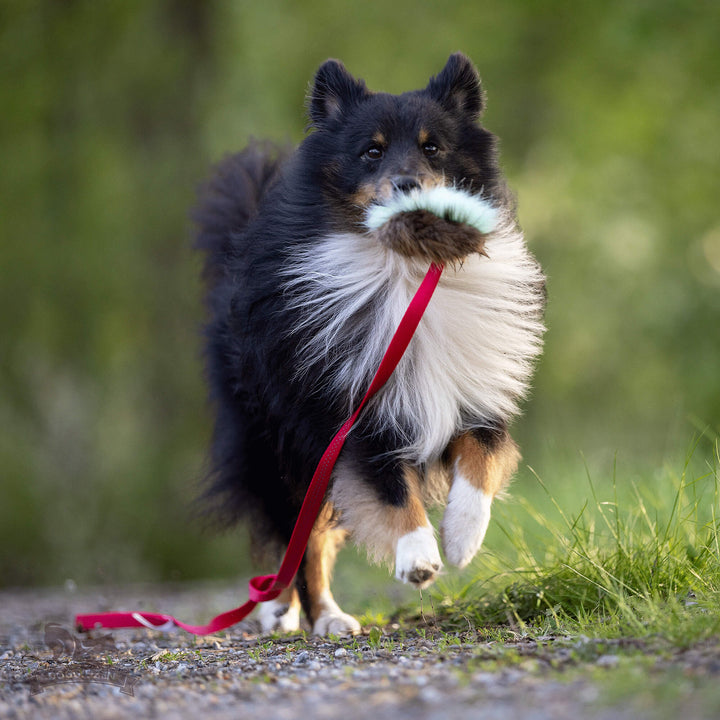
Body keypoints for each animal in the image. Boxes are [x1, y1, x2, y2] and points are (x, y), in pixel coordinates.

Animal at [194, 52, 544, 636]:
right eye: (372, 151)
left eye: (432, 147)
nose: (408, 185)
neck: (405, 271)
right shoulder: (350, 413)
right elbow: (389, 488)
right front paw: (419, 556)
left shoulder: (472, 395)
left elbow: (482, 459)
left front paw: (462, 537)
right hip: (276, 445)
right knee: (297, 538)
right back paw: (301, 613)